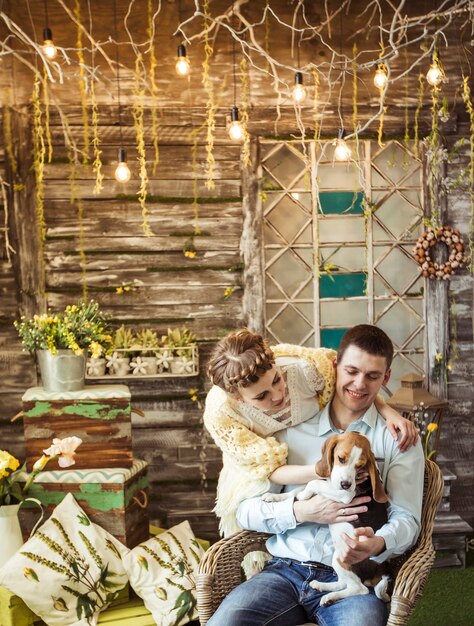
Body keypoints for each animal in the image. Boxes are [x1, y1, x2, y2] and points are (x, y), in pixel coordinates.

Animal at [262, 432, 388, 604]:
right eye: (341, 459)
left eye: (360, 466)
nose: (345, 484)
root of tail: (378, 570)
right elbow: (298, 489)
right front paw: (276, 497)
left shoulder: (345, 495)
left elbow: (312, 483)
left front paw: (303, 495)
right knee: (344, 583)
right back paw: (323, 587)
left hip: (342, 557)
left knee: (359, 589)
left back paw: (330, 597)